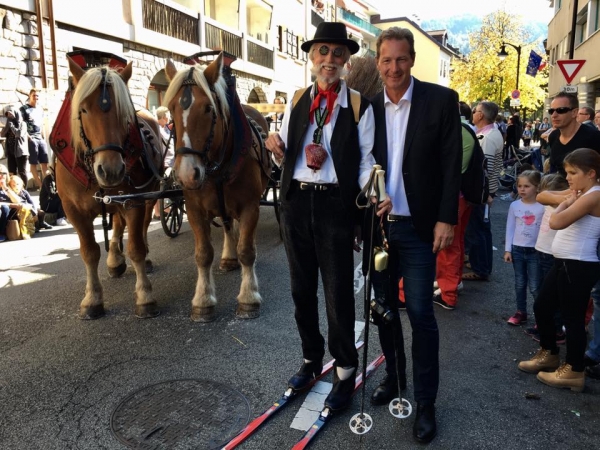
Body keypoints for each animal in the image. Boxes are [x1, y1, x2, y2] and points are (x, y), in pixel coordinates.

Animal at [55, 57, 164, 320]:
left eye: (125, 113)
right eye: (83, 110)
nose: (111, 170)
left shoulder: (133, 200)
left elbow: (135, 246)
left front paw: (145, 295)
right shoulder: (73, 210)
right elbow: (89, 252)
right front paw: (92, 298)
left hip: (147, 194)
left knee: (142, 227)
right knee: (116, 224)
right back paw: (115, 259)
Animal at [162, 53, 270, 324]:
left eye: (208, 109)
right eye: (171, 109)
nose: (187, 174)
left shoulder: (250, 206)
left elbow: (247, 251)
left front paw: (248, 298)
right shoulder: (194, 209)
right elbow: (203, 254)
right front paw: (203, 301)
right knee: (228, 224)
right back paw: (229, 257)